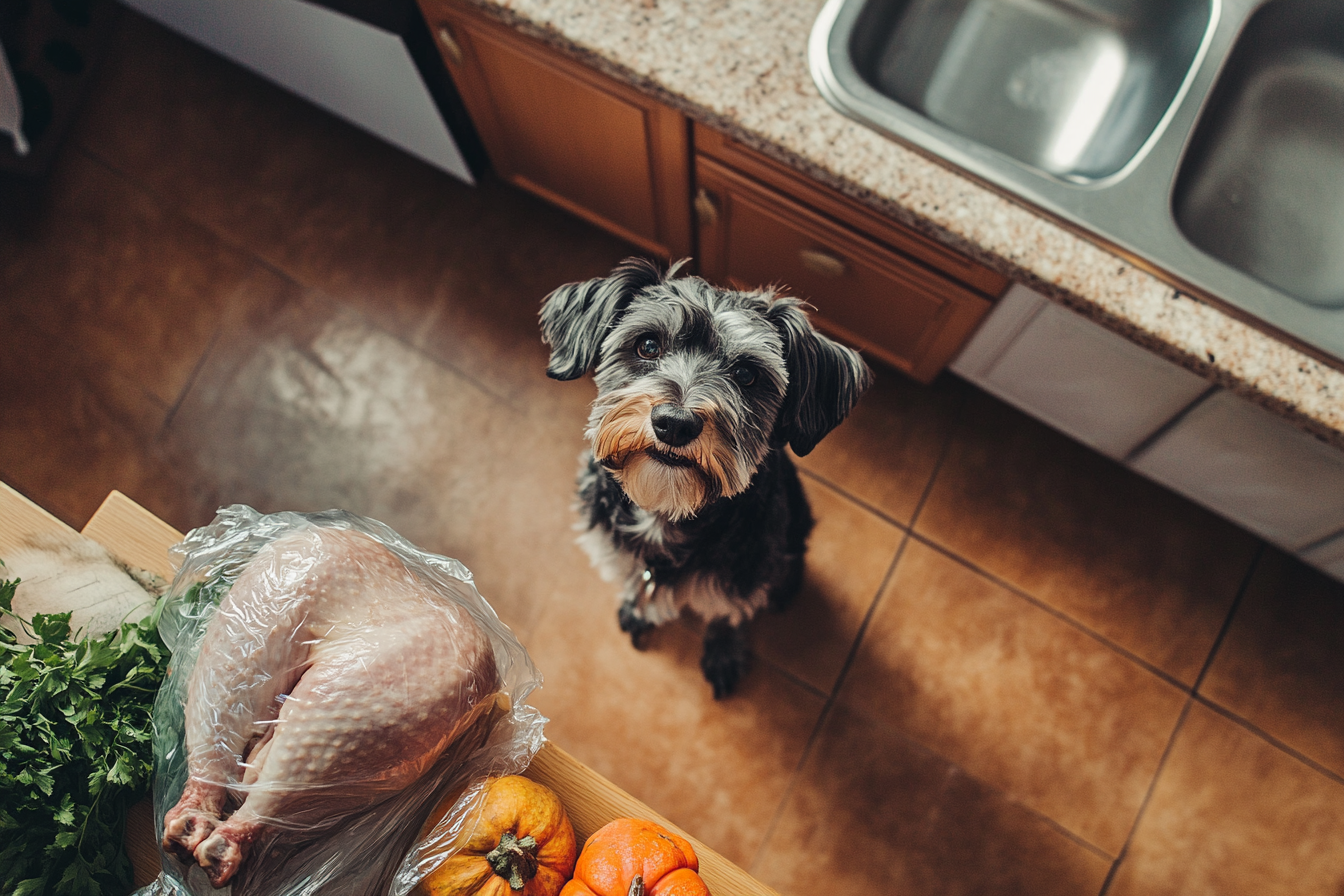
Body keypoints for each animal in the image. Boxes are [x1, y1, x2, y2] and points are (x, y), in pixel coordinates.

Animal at [540, 255, 876, 698]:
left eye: (747, 374)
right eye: (648, 345)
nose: (674, 423)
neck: (666, 512)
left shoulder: (741, 581)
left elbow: (726, 616)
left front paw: (724, 652)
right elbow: (635, 582)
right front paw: (636, 608)